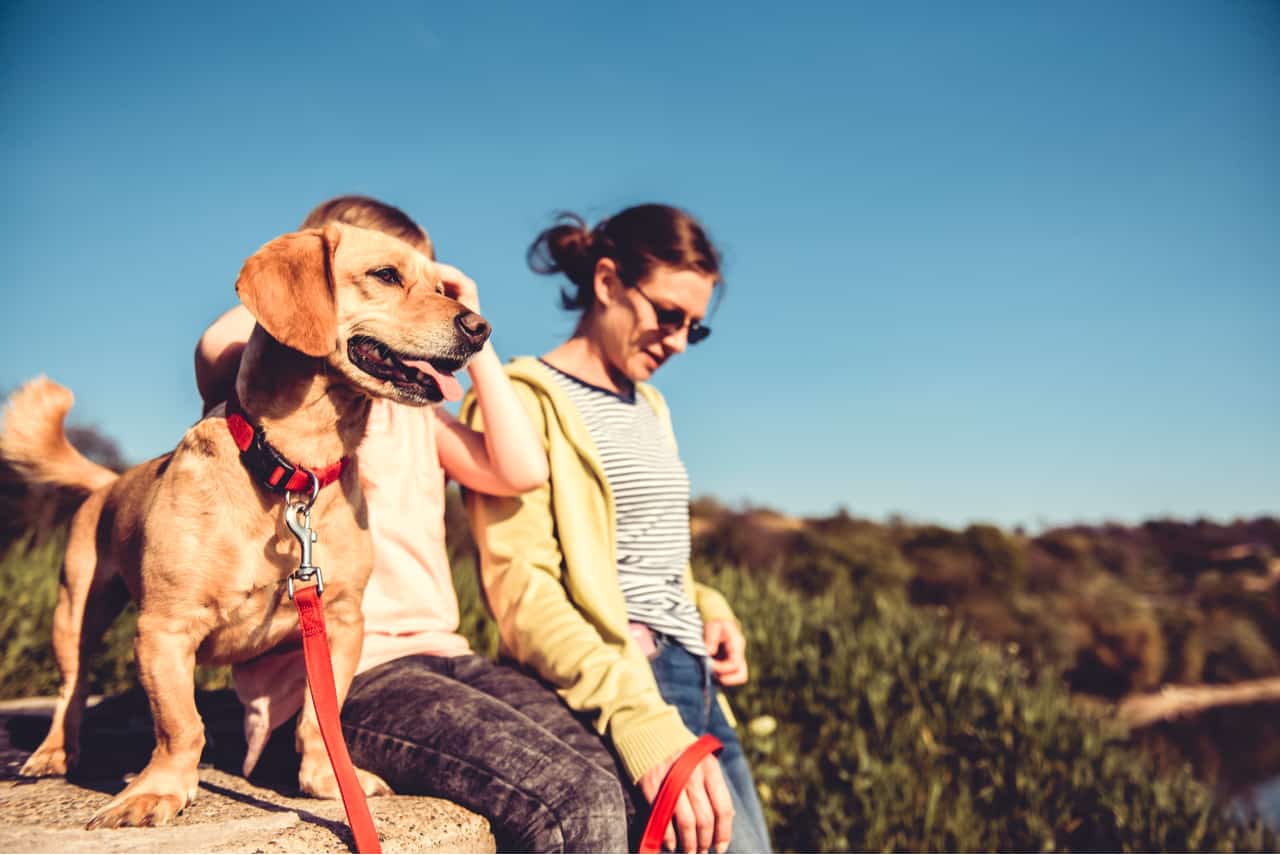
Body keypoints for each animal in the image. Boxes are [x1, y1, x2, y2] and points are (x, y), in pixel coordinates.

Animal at [3, 222, 488, 829]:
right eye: (386, 275)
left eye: (442, 287)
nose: (481, 328)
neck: (294, 469)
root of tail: (110, 481)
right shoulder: (164, 627)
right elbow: (180, 725)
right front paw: (157, 790)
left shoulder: (340, 623)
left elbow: (317, 718)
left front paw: (327, 781)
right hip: (74, 615)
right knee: (74, 688)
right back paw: (52, 753)